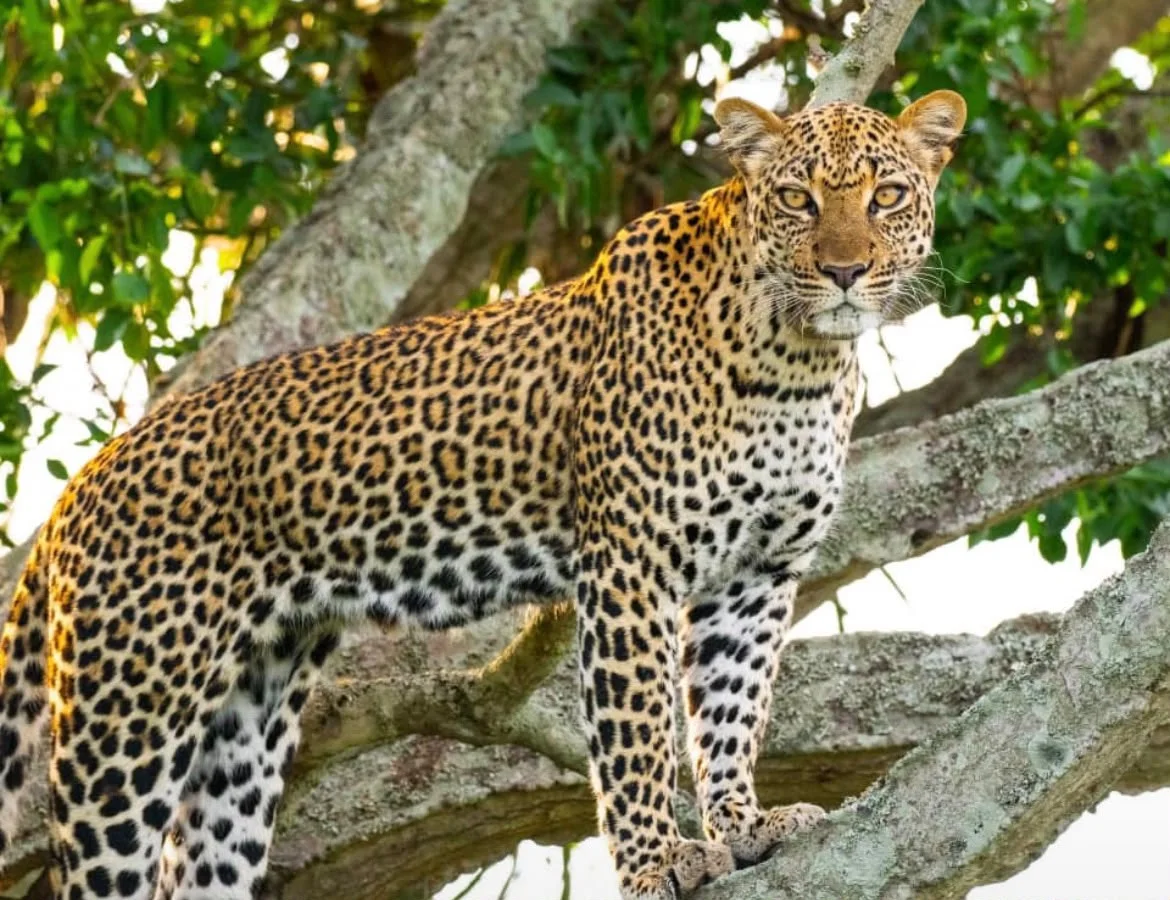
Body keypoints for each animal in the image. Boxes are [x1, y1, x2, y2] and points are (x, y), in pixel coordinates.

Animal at [0, 89, 965, 900]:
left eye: (886, 196)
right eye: (799, 199)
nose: (844, 271)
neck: (798, 363)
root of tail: (74, 494)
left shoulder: (758, 574)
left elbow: (731, 713)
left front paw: (746, 825)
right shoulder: (631, 571)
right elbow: (640, 734)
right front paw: (660, 861)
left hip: (248, 715)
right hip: (129, 718)